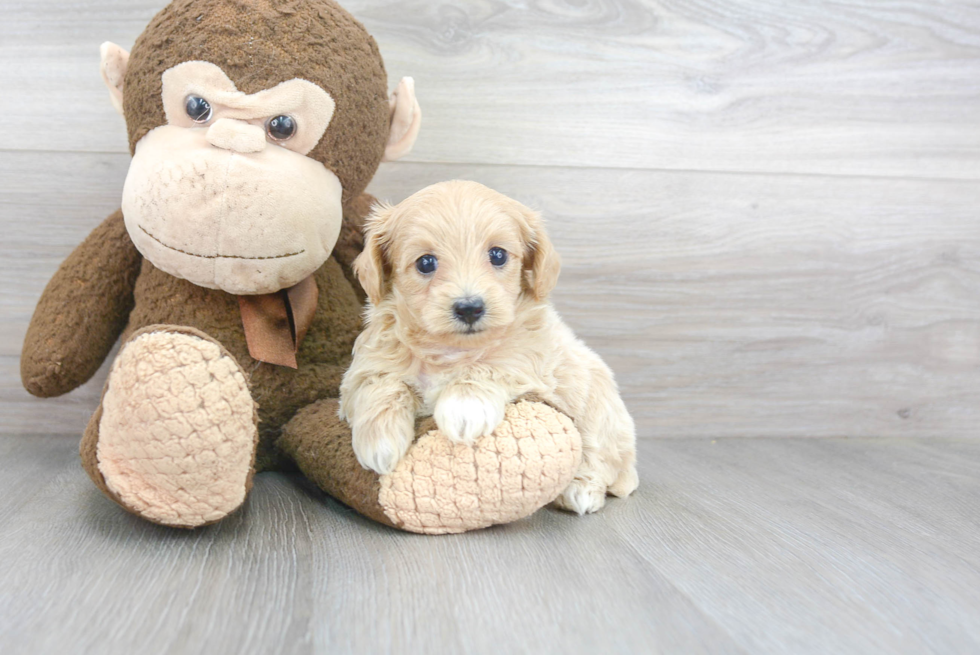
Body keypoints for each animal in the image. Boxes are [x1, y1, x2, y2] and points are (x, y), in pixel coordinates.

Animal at [340, 182, 640, 516]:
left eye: (497, 255)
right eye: (425, 262)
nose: (469, 308)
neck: (452, 349)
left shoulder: (529, 358)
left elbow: (491, 365)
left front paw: (463, 408)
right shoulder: (365, 368)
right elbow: (381, 384)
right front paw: (379, 442)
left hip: (600, 408)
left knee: (600, 457)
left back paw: (581, 489)